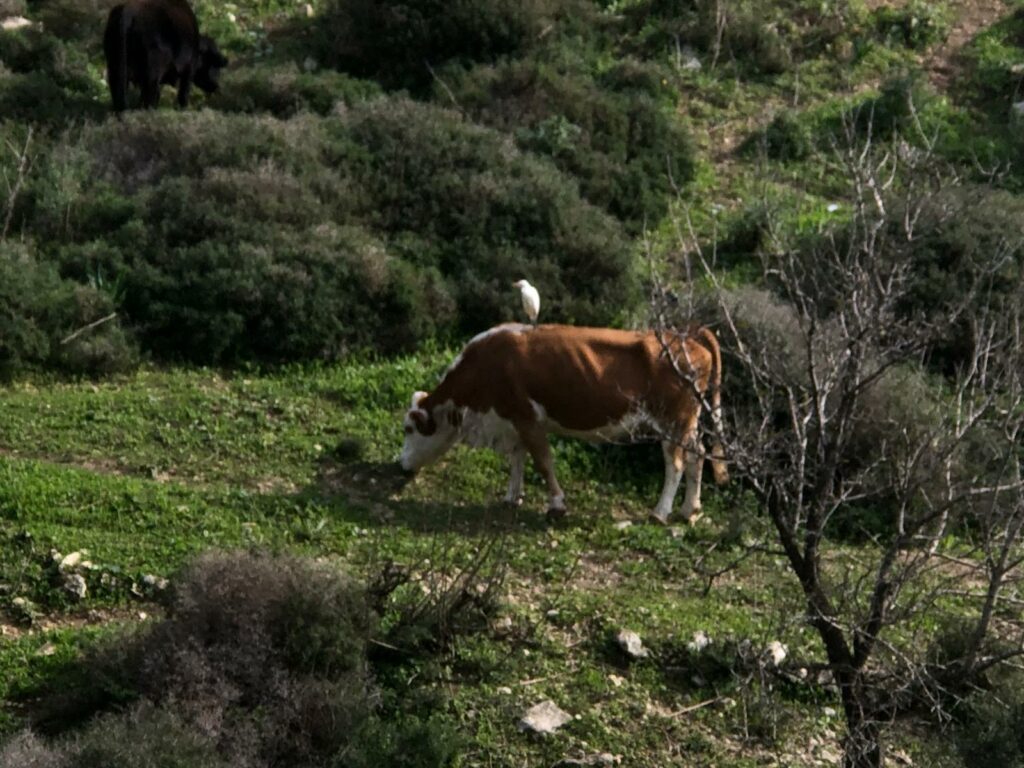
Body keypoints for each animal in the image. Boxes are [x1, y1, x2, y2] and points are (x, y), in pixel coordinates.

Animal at [399, 321, 729, 528]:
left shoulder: (528, 419)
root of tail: (688, 337)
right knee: (698, 455)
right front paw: (512, 497)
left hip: (672, 421)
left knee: (676, 463)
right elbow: (517, 459)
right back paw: (689, 510)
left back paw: (660, 512)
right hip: (688, 422)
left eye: (409, 429)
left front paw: (556, 505)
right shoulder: (512, 420)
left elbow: (543, 462)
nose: (400, 465)